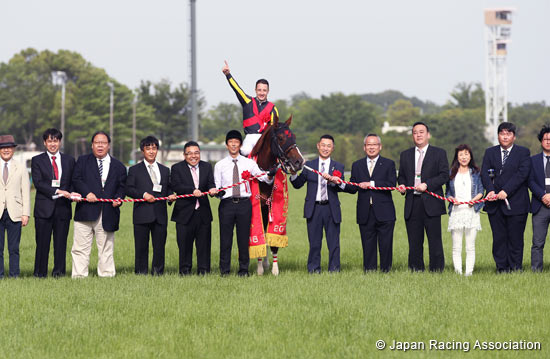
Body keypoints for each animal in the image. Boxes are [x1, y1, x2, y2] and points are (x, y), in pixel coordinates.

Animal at [251, 115, 306, 276]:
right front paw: (259, 268)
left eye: (293, 136)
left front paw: (274, 269)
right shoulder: (258, 208)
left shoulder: (271, 208)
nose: (299, 162)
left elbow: (273, 239)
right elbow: (259, 236)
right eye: (281, 138)